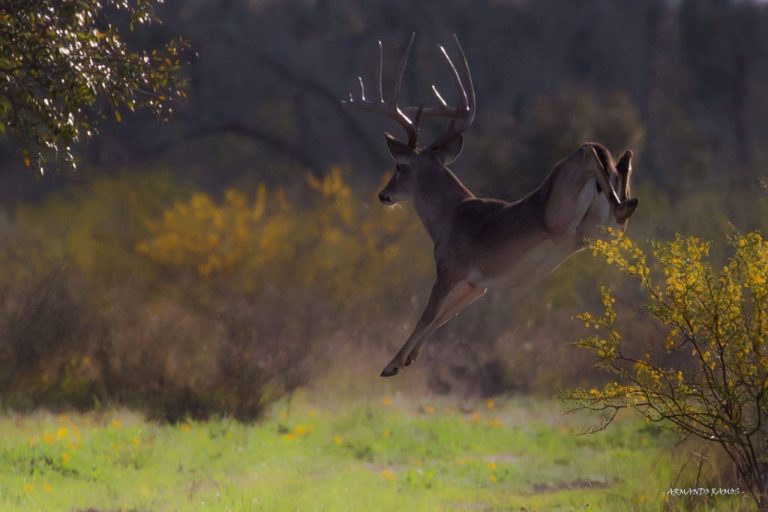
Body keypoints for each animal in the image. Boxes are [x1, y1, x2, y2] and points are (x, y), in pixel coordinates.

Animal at [344, 35, 640, 376]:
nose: (384, 195)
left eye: (399, 167)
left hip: (561, 218)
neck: (448, 219)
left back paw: (621, 194)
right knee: (617, 178)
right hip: (595, 229)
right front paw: (409, 358)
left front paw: (391, 365)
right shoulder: (477, 284)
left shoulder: (450, 268)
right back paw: (626, 186)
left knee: (590, 150)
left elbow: (428, 314)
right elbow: (444, 318)